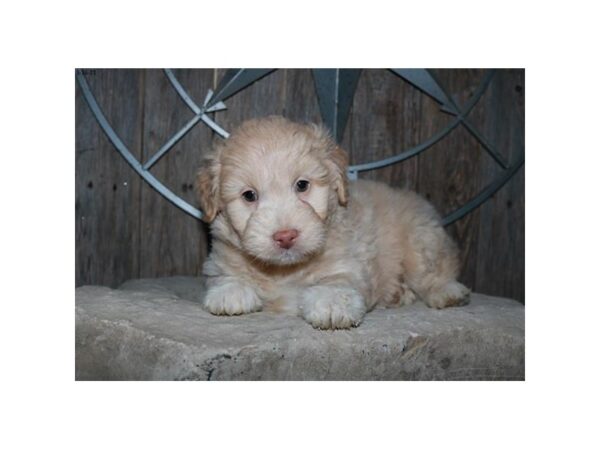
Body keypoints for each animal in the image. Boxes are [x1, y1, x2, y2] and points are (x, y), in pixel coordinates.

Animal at [196, 115, 468, 330]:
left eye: (302, 185)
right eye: (249, 196)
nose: (286, 236)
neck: (284, 270)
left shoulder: (349, 264)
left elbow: (337, 281)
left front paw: (332, 302)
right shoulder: (219, 259)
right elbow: (225, 274)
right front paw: (230, 291)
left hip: (421, 241)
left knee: (433, 273)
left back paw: (446, 292)